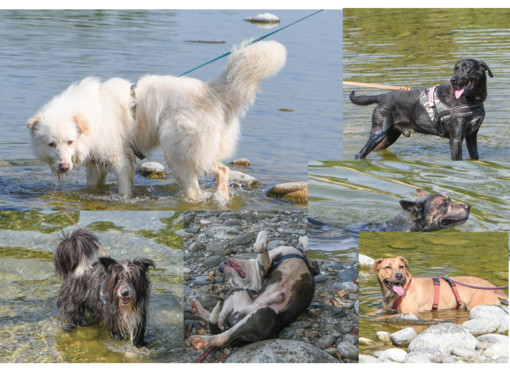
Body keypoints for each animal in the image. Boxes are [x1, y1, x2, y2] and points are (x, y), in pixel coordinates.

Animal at [350, 59, 494, 160]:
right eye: (455, 69)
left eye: (467, 68)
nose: (452, 80)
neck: (472, 100)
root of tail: (382, 96)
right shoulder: (456, 139)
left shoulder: (472, 135)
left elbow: (475, 157)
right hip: (378, 132)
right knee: (360, 154)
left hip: (389, 136)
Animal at [370, 258, 506, 314]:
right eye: (387, 267)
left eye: (401, 266)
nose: (399, 276)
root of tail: (493, 287)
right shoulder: (387, 309)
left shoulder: (410, 313)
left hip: (475, 304)